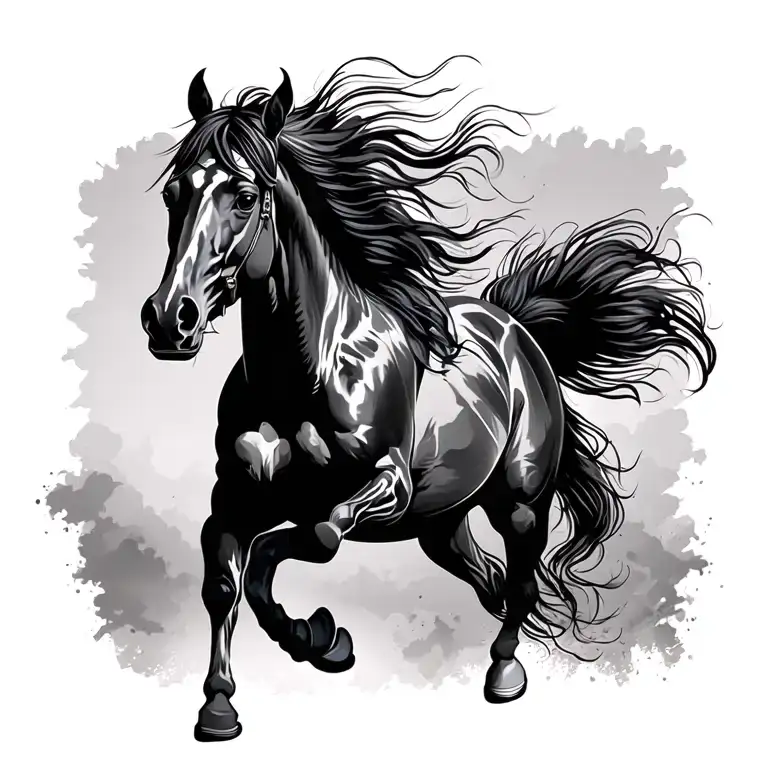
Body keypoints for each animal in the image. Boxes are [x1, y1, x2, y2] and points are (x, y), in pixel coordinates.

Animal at [140, 58, 715, 742]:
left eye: (246, 196)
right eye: (174, 193)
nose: (168, 319)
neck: (307, 376)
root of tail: (519, 331)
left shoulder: (385, 490)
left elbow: (312, 538)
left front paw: (320, 640)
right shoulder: (234, 503)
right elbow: (229, 587)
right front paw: (229, 703)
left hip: (519, 503)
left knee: (520, 582)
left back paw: (504, 675)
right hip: (440, 524)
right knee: (489, 577)